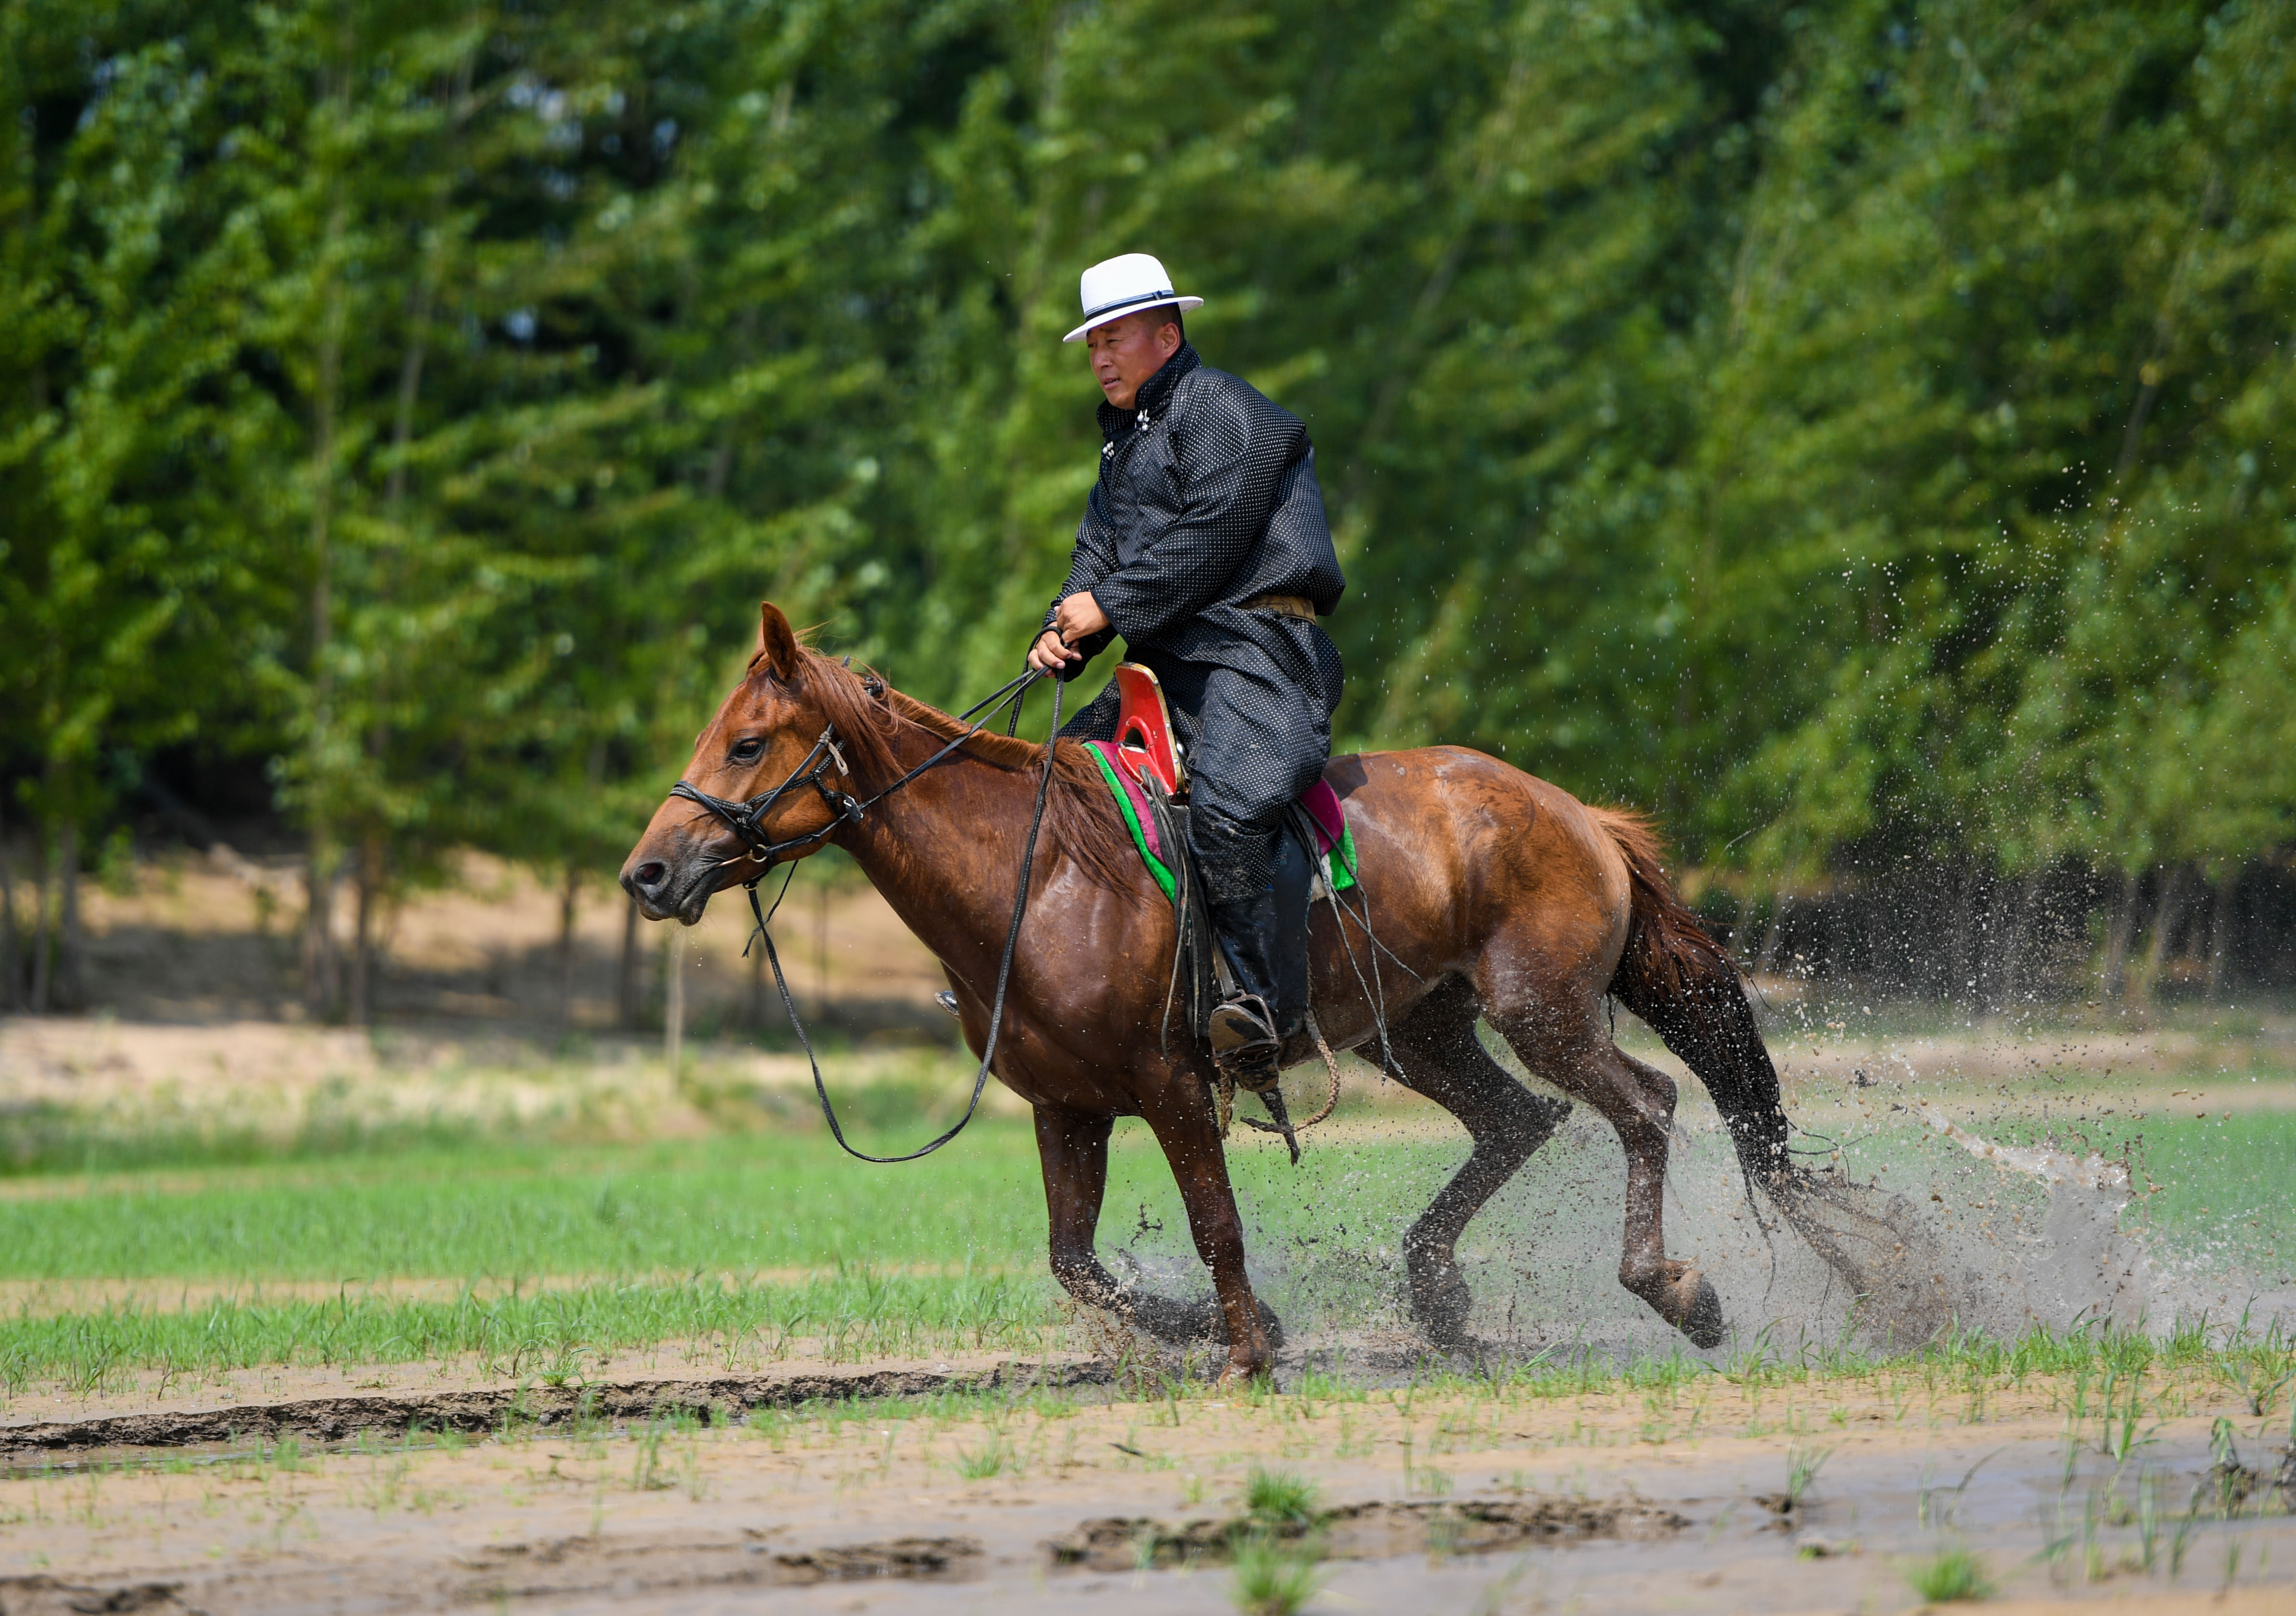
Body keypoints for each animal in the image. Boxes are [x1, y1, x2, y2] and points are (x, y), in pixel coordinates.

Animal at [624, 606, 1937, 1377]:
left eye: (746, 742)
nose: (648, 872)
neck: (1038, 873)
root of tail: (1574, 813)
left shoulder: (1169, 1084)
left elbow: (1212, 1223)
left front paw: (1248, 1345)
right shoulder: (1068, 1107)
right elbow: (1074, 1259)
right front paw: (1223, 1328)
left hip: (1542, 1013)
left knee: (1644, 1107)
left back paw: (1668, 1286)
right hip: (1416, 1034)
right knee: (1521, 1121)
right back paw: (1441, 1300)